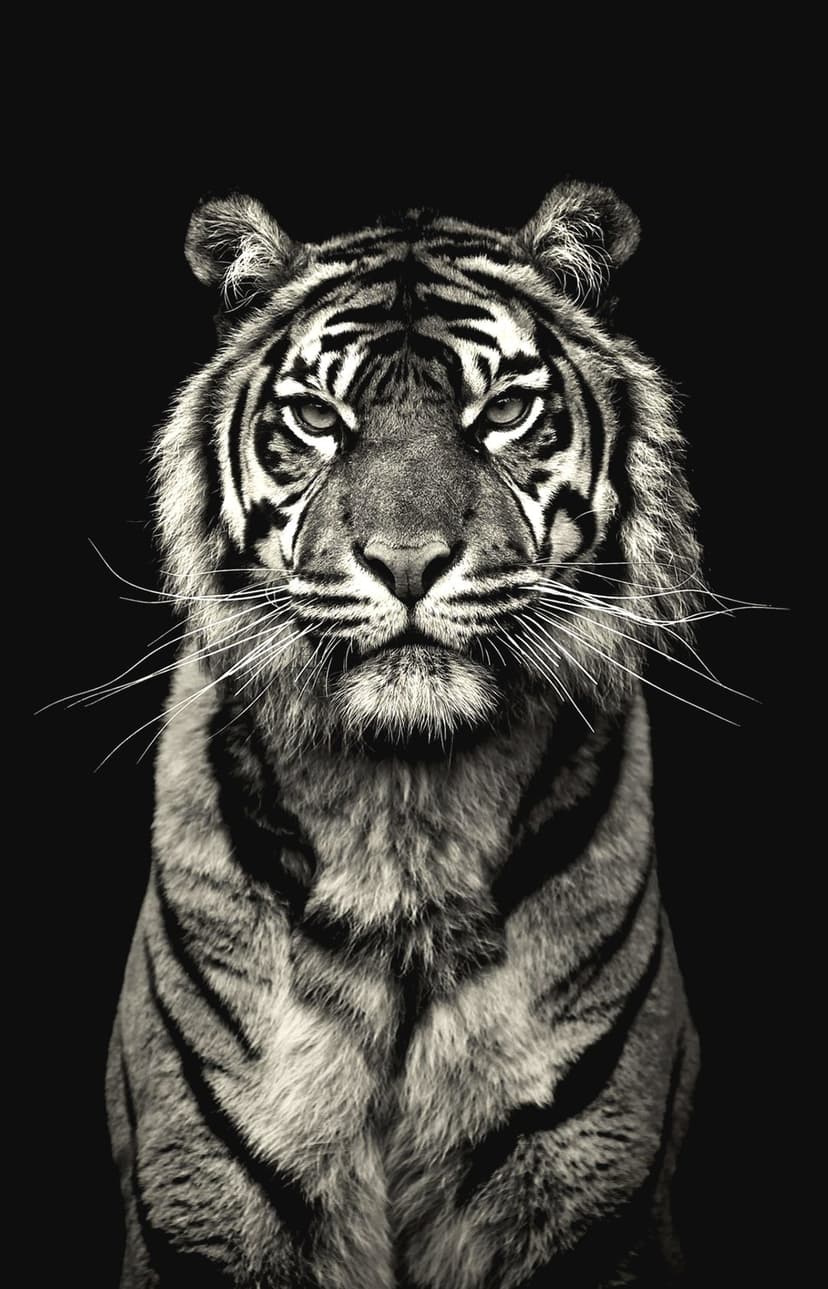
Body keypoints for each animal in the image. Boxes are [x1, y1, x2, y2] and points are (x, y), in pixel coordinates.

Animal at [106, 180, 704, 1288]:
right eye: (317, 417)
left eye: (502, 410)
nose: (407, 561)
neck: (406, 808)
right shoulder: (199, 1200)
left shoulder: (593, 1200)